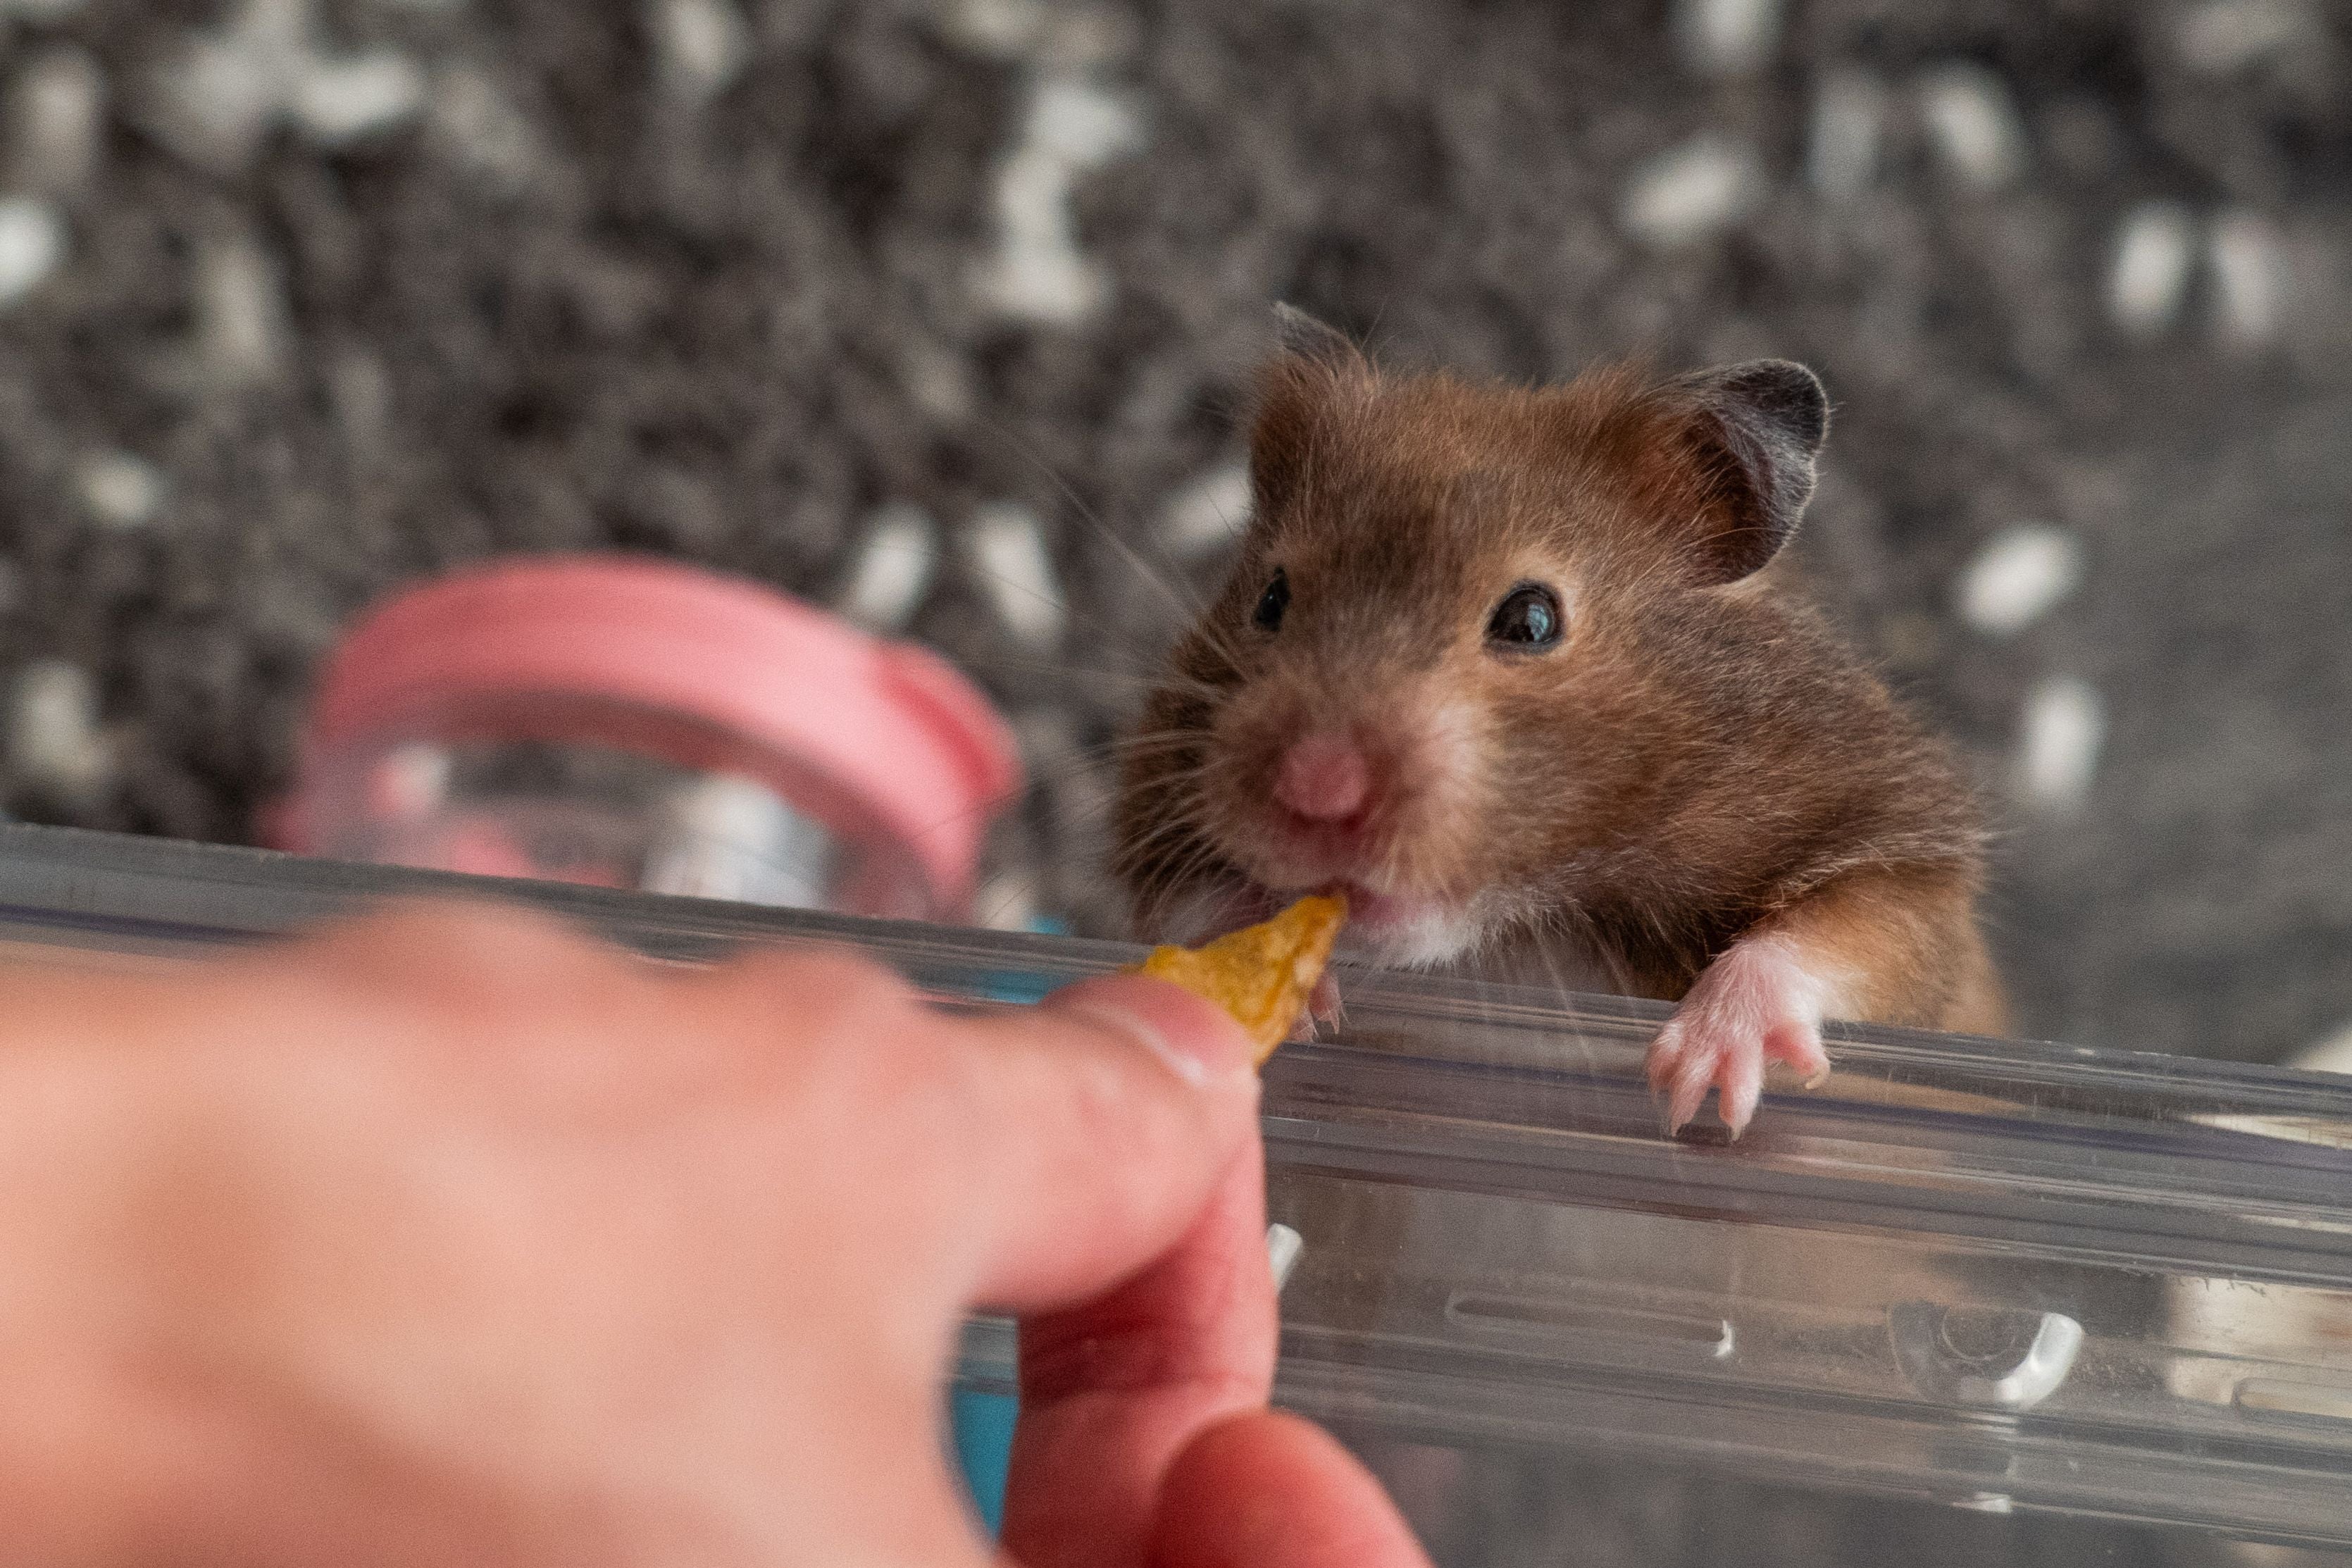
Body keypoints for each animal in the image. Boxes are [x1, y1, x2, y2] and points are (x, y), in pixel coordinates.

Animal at [1114, 305, 2003, 1133]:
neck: (1525, 928)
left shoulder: (1905, 852)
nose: (1315, 789)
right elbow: (1182, 903)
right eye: (1271, 599)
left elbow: (1852, 933)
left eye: (1532, 620)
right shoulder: (1152, 820)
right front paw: (1278, 980)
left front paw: (1694, 1086)